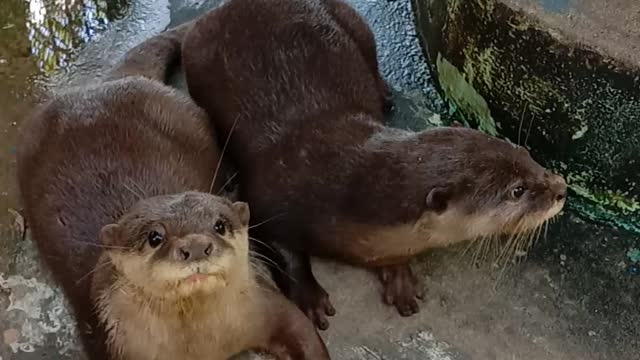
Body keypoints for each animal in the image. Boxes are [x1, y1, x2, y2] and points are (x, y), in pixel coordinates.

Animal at [15, 21, 330, 358]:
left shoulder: (264, 302)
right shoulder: (109, 338)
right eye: (155, 237)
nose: (196, 247)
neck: (203, 345)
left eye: (220, 225)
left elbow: (300, 328)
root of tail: (109, 82)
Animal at [182, 0, 568, 330]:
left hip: (355, 22)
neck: (344, 190)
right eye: (517, 190)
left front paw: (399, 277)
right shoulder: (267, 192)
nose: (561, 188)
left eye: (525, 152)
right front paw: (309, 295)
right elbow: (280, 247)